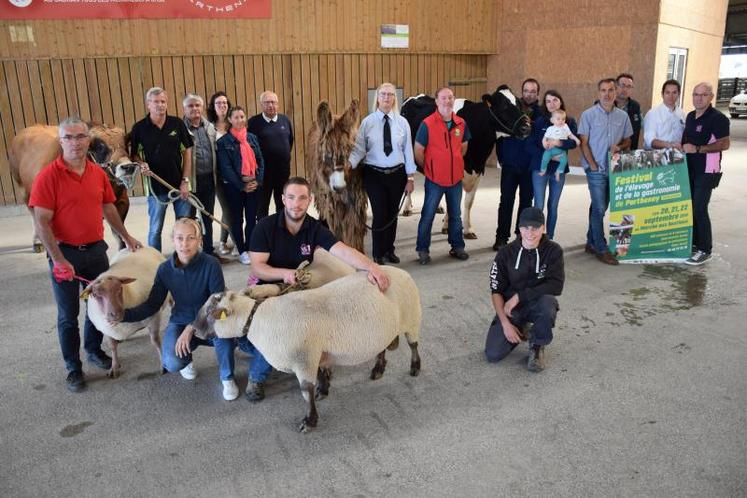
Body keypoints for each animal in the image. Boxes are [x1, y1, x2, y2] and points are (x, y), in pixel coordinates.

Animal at [9, 123, 136, 251]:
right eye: (100, 146)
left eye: (126, 143)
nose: (128, 166)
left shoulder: (122, 203)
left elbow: (120, 235)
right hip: (23, 190)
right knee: (33, 214)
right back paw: (37, 241)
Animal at [82, 247, 169, 380]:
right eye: (96, 295)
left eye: (120, 289)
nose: (115, 314)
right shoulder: (106, 330)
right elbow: (112, 347)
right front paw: (114, 367)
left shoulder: (154, 317)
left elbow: (156, 341)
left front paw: (163, 365)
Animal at [191, 264, 420, 432]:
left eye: (210, 311)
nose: (193, 329)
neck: (257, 320)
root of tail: (400, 271)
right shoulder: (311, 354)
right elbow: (319, 376)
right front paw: (323, 390)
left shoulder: (303, 357)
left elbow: (305, 390)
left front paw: (309, 421)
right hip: (383, 328)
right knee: (382, 347)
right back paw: (378, 369)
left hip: (412, 318)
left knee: (413, 344)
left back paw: (415, 368)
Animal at [306, 99, 366, 251]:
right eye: (327, 156)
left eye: (349, 154)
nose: (339, 187)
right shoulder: (333, 205)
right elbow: (338, 235)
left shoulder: (355, 203)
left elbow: (354, 233)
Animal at [404, 85, 532, 239]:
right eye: (503, 106)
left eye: (519, 104)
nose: (526, 127)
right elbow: (453, 200)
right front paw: (447, 226)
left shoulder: (479, 170)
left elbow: (468, 202)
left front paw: (468, 229)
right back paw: (407, 208)